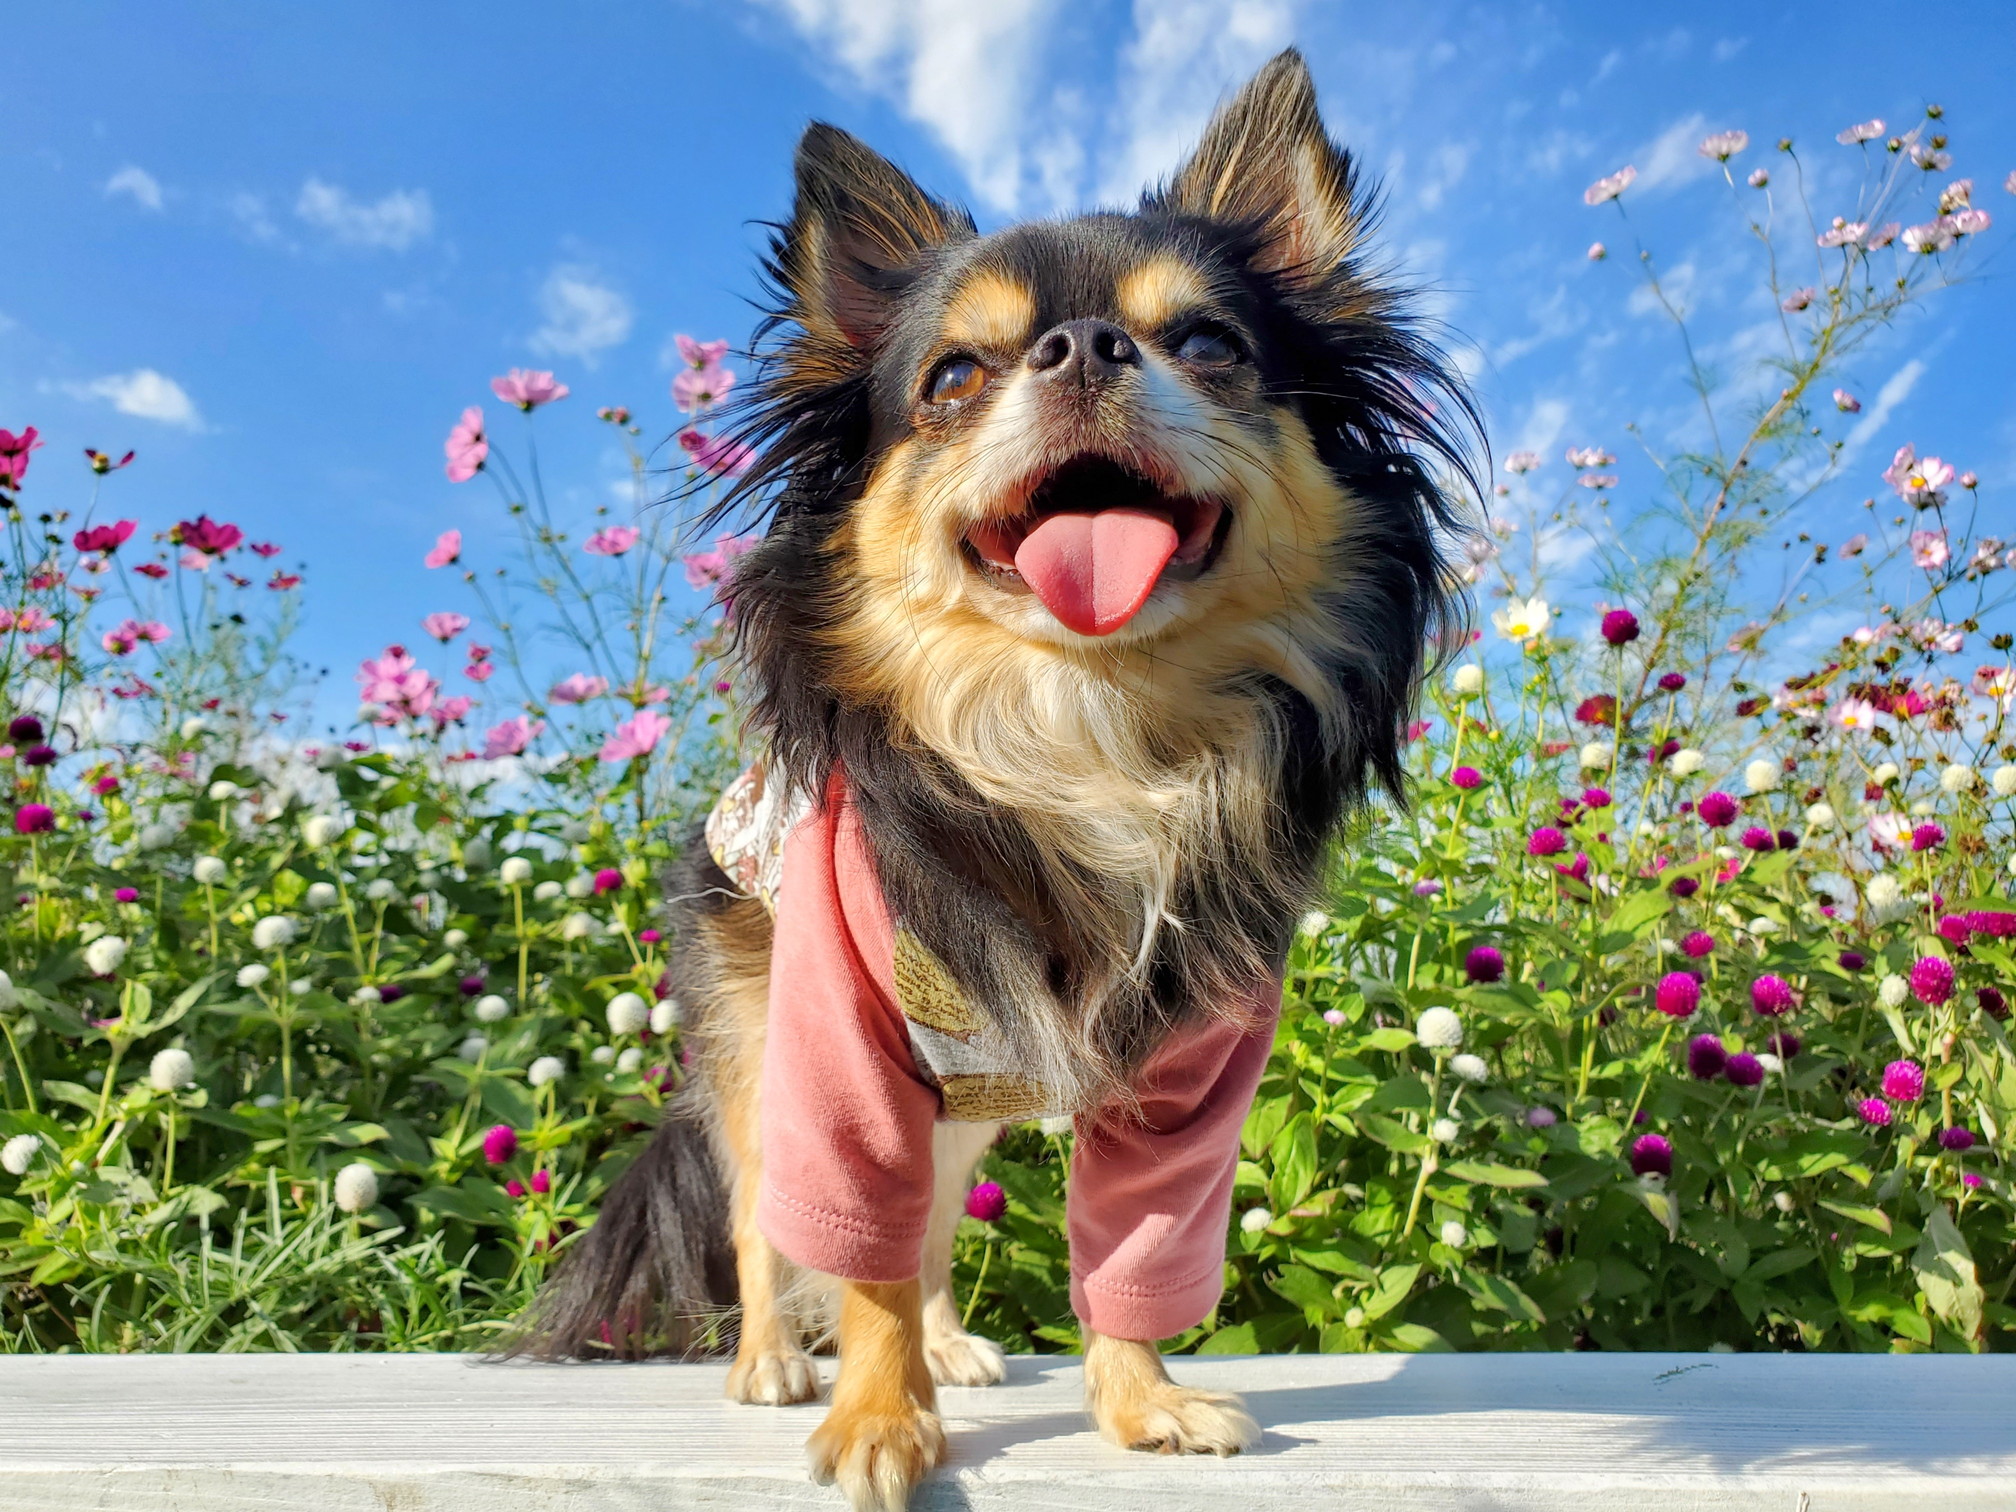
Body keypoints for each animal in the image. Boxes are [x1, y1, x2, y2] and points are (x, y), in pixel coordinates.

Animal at [512, 47, 1475, 1512]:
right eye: (955, 376)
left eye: (1209, 345)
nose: (1084, 346)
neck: (1085, 728)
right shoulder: (842, 1050)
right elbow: (844, 1248)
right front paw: (874, 1415)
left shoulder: (1185, 1073)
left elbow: (1123, 1254)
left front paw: (1140, 1408)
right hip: (765, 1051)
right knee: (765, 1217)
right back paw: (771, 1359)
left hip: (975, 1089)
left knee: (926, 1232)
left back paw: (952, 1347)